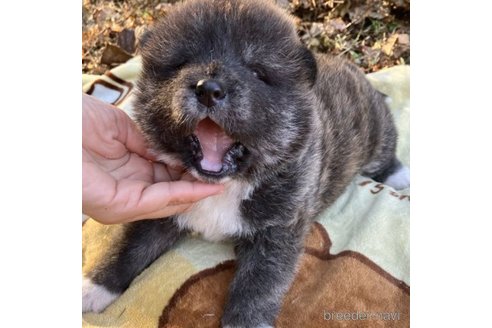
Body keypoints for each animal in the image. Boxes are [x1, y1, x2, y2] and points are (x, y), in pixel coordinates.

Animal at [82, 0, 410, 326]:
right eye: (182, 63)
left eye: (256, 72)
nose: (208, 88)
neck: (230, 184)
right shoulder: (161, 212)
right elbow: (129, 247)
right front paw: (94, 288)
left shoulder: (277, 233)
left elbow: (256, 288)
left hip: (375, 130)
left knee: (387, 147)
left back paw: (398, 176)